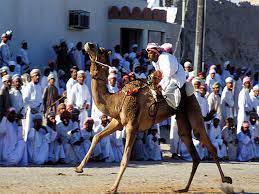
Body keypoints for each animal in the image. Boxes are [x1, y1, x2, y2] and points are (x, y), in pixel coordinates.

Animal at [74, 42, 233, 192]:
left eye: (100, 50)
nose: (89, 44)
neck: (116, 100)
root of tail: (191, 90)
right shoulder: (118, 122)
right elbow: (97, 137)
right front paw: (79, 168)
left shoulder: (132, 126)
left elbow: (125, 158)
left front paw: (113, 188)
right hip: (181, 116)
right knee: (193, 151)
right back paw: (184, 188)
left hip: (193, 109)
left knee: (208, 143)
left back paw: (225, 179)